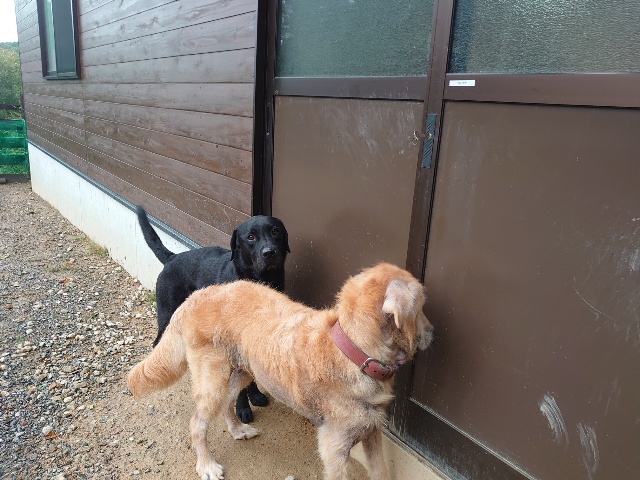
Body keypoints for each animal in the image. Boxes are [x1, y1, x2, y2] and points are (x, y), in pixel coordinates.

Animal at [127, 262, 433, 480]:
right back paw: (207, 466)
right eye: (421, 307)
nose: (433, 332)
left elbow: (380, 471)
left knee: (228, 403)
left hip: (243, 371)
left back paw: (237, 430)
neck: (354, 351)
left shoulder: (371, 431)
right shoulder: (334, 448)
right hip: (212, 379)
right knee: (197, 423)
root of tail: (198, 295)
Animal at [136, 206, 290, 423]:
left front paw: (255, 395)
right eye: (250, 237)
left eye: (275, 231)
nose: (269, 252)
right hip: (166, 314)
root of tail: (173, 257)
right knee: (158, 342)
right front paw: (242, 408)